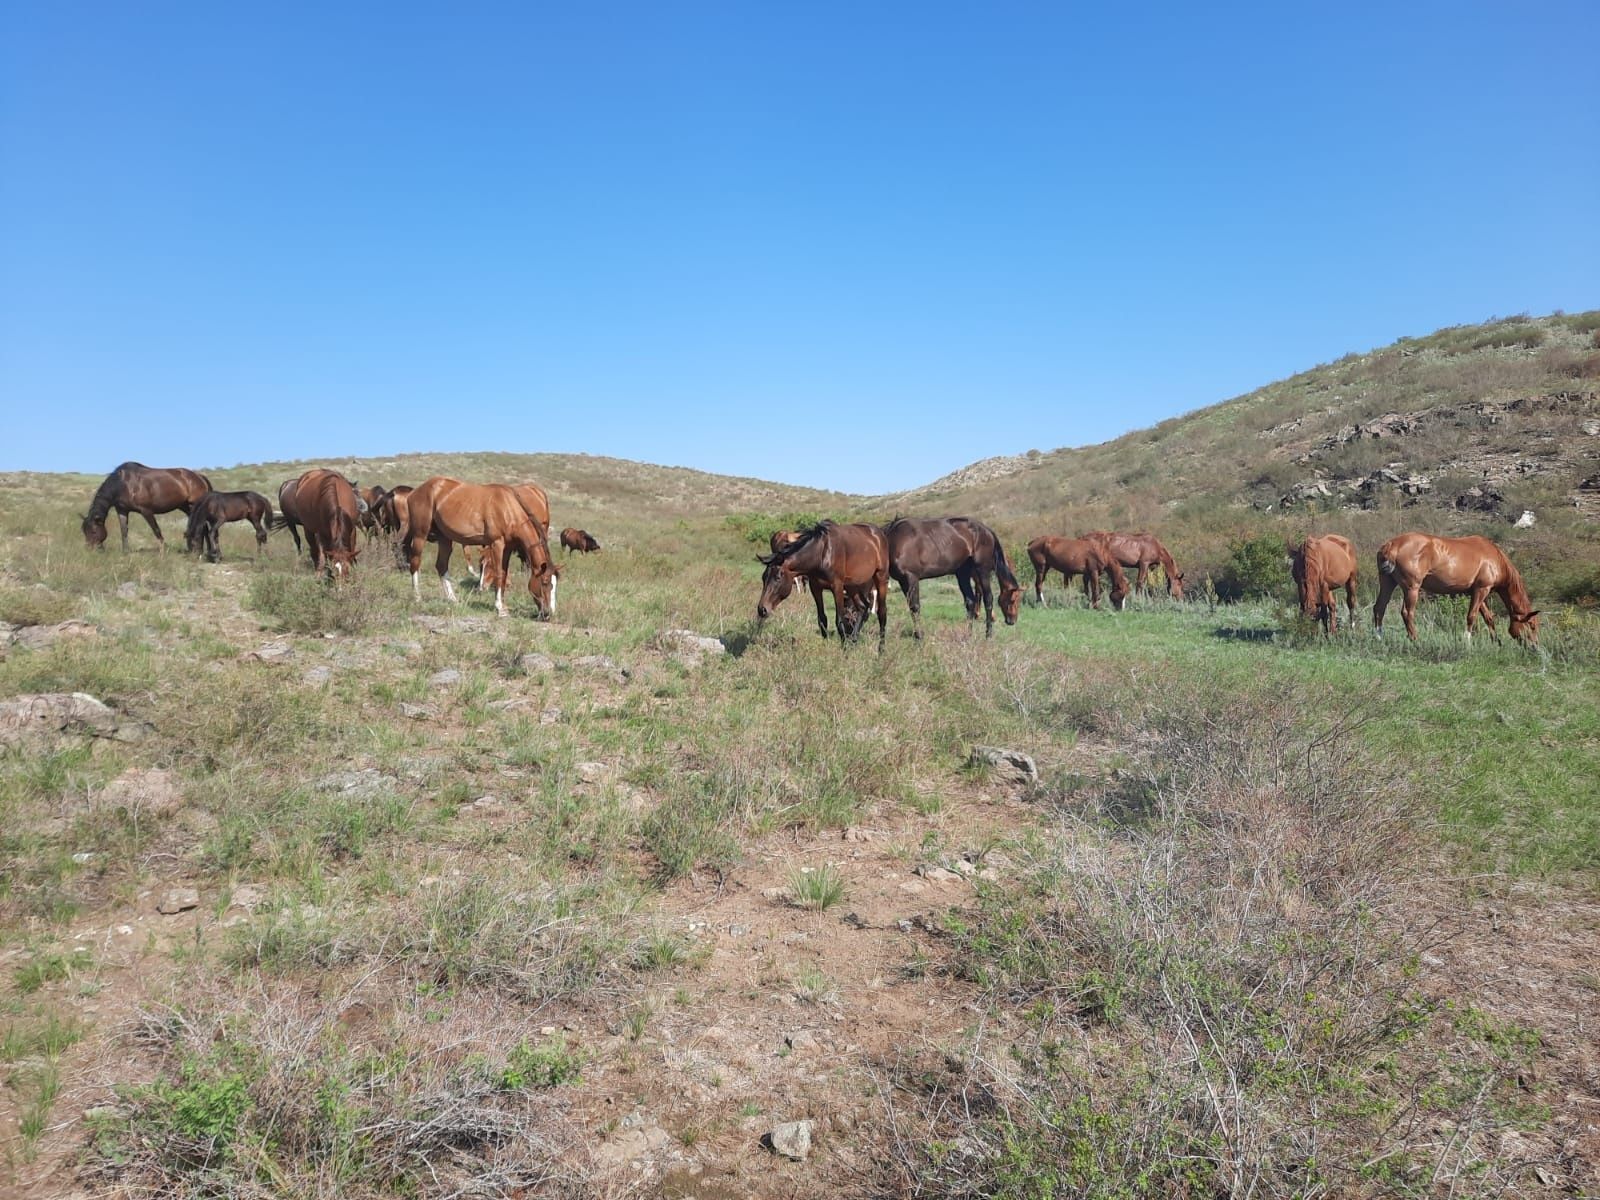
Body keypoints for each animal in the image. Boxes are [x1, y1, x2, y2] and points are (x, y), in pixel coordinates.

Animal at [80, 464, 211, 553]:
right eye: (84, 531)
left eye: (93, 531)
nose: (90, 550)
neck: (124, 484)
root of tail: (199, 477)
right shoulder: (122, 511)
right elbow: (124, 531)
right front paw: (125, 551)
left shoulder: (146, 511)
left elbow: (156, 530)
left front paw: (163, 551)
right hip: (185, 507)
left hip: (193, 506)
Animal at [403, 476, 560, 620]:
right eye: (545, 583)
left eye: (554, 584)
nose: (548, 614)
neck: (507, 508)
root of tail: (414, 492)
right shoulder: (497, 544)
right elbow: (498, 574)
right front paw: (499, 608)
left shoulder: (507, 548)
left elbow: (504, 575)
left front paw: (502, 605)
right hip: (420, 535)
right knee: (415, 563)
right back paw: (417, 597)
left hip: (445, 538)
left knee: (441, 566)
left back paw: (452, 599)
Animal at [758, 518, 896, 649]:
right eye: (763, 578)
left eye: (778, 578)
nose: (762, 609)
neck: (822, 553)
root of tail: (879, 534)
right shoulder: (815, 588)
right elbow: (822, 619)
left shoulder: (837, 587)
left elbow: (840, 621)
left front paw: (844, 650)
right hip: (852, 585)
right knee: (863, 607)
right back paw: (854, 641)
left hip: (880, 578)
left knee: (882, 613)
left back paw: (880, 650)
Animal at [883, 518, 1017, 640]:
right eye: (1013, 599)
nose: (1012, 621)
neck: (895, 541)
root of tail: (987, 531)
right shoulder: (903, 581)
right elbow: (912, 607)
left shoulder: (911, 578)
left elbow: (915, 607)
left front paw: (919, 637)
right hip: (963, 574)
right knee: (970, 602)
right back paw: (968, 635)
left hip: (982, 570)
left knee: (988, 599)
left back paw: (988, 635)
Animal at [1376, 534, 1536, 649]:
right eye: (1532, 626)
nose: (1534, 647)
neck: (1494, 558)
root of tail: (1392, 545)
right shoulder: (1482, 590)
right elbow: (1471, 616)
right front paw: (1467, 640)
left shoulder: (1476, 592)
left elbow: (1488, 618)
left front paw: (1497, 642)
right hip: (1412, 589)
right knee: (1407, 613)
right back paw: (1415, 640)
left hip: (1387, 583)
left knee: (1379, 608)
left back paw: (1378, 637)